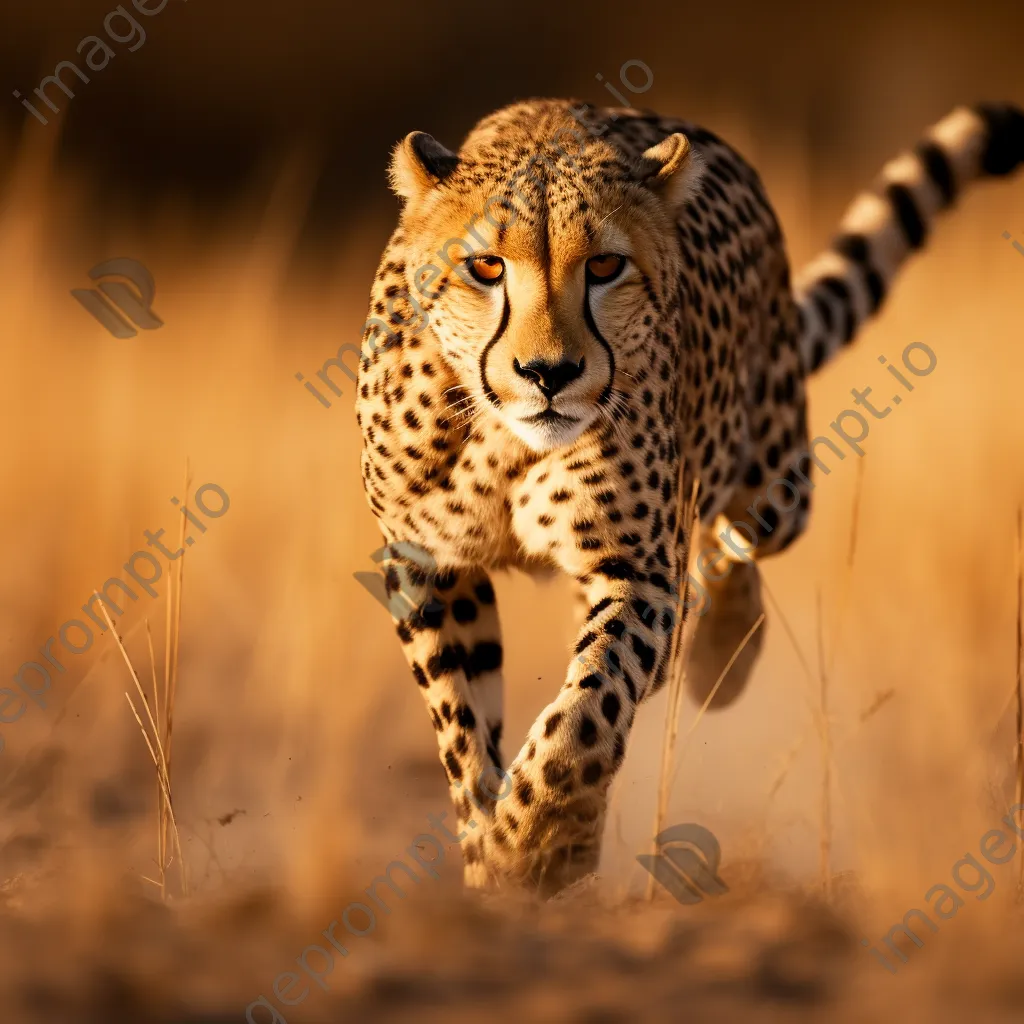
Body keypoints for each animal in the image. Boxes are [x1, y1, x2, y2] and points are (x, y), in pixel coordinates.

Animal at [354, 97, 1024, 897]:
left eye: (604, 266)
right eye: (486, 266)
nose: (548, 372)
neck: (505, 442)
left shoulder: (639, 568)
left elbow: (589, 707)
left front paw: (539, 837)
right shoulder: (427, 565)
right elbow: (465, 729)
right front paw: (497, 853)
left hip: (776, 479)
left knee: (735, 546)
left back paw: (721, 655)